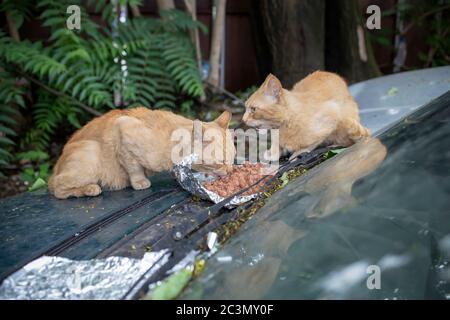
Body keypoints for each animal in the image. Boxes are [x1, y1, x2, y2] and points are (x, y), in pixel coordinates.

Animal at [48, 109, 236, 199]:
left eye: (232, 159)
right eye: (221, 162)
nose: (230, 171)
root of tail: (56, 167)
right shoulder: (123, 129)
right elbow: (134, 168)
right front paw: (140, 182)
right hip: (90, 154)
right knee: (58, 188)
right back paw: (90, 189)